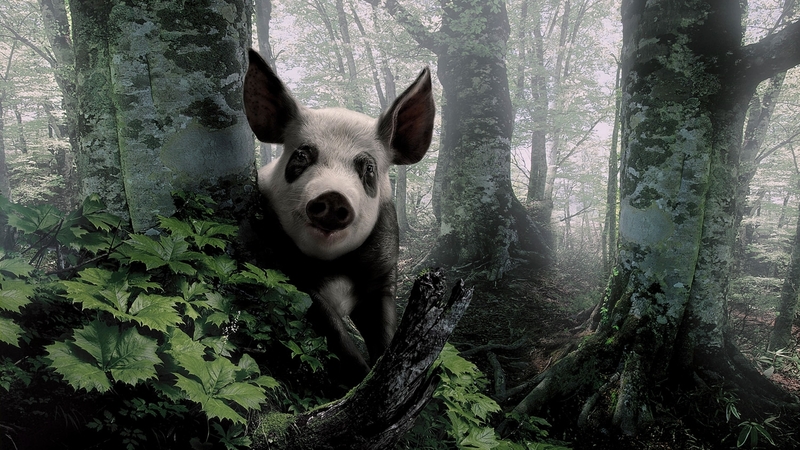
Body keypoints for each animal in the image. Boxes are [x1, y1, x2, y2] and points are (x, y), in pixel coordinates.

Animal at [242, 49, 435, 383]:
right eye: (301, 156)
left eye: (368, 168)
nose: (333, 196)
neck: (335, 266)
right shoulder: (286, 268)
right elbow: (333, 332)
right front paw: (360, 378)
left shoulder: (384, 272)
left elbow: (384, 330)